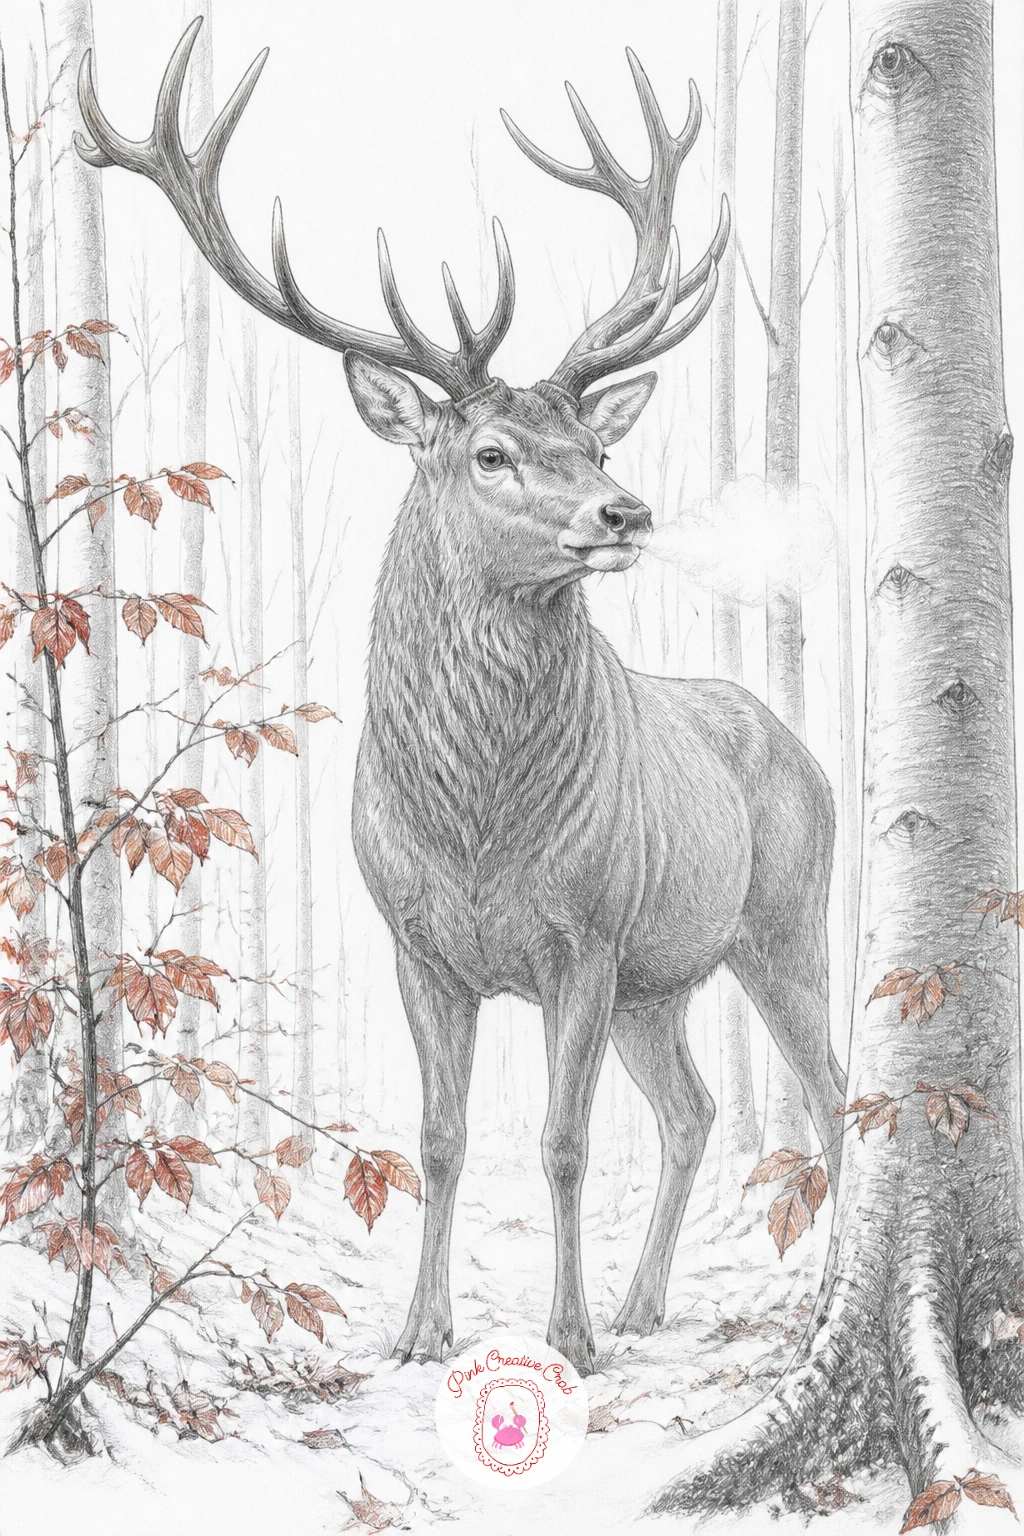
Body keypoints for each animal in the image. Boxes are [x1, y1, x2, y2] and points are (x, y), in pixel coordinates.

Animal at [77, 21, 846, 1375]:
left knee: (833, 1092)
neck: (482, 826)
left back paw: (809, 1305)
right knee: (696, 1109)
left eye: (595, 446)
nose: (626, 511)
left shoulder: (585, 935)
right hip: (666, 979)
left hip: (782, 921)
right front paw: (420, 1331)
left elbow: (561, 1142)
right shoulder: (418, 940)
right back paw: (651, 1303)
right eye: (490, 453)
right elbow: (439, 1139)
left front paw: (568, 1339)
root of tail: (804, 752)